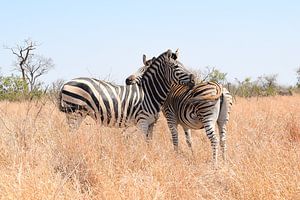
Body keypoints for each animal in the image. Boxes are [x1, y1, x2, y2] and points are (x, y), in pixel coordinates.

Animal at [58, 49, 195, 139]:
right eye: (176, 67)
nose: (193, 79)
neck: (149, 93)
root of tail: (66, 83)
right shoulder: (142, 122)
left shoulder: (151, 124)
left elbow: (149, 144)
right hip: (74, 113)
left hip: (77, 114)